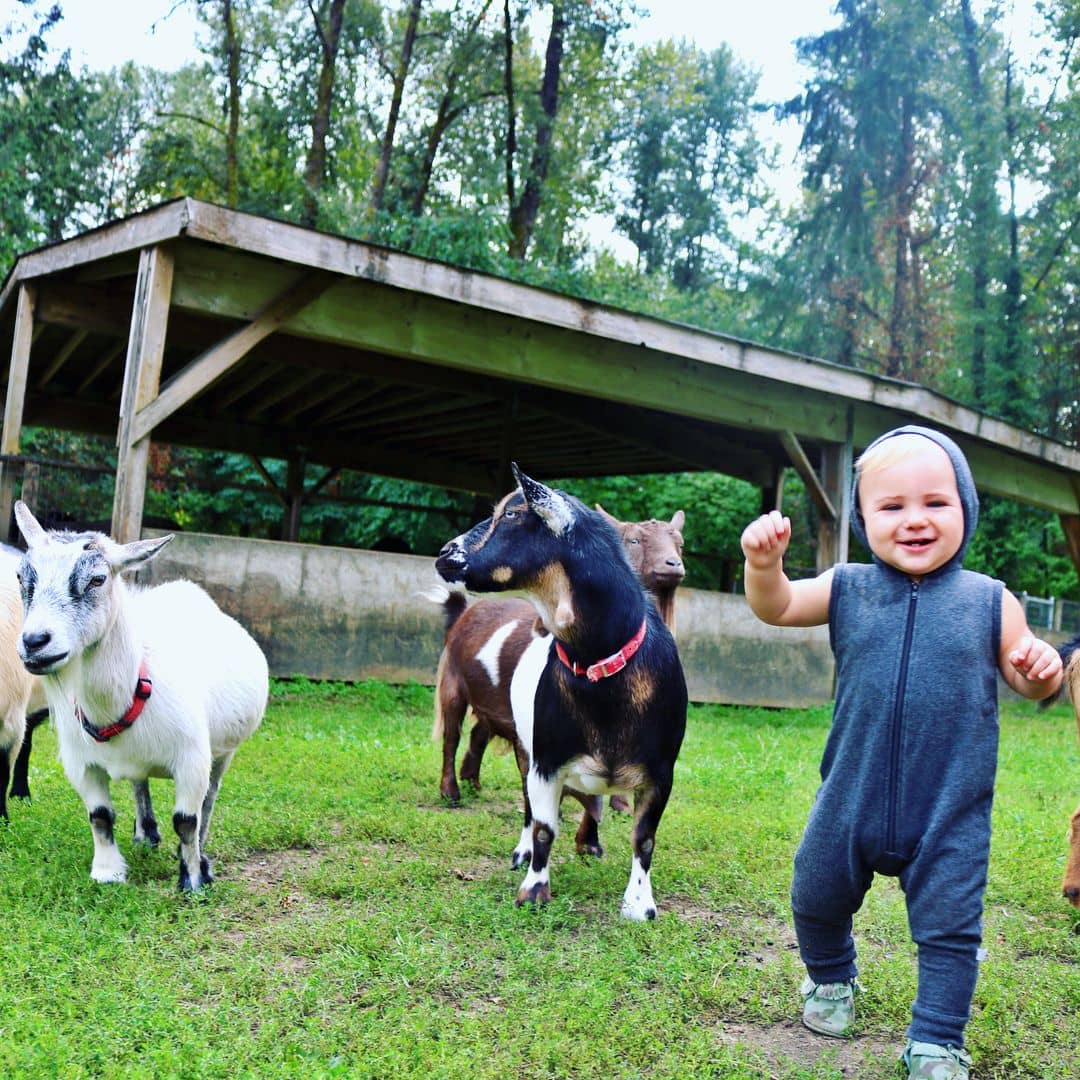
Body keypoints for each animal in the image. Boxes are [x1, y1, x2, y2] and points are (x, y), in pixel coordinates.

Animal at [12, 501, 267, 889]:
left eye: (97, 579)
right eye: (21, 578)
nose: (35, 642)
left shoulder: (192, 759)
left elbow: (186, 820)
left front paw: (195, 878)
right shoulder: (80, 763)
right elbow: (99, 815)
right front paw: (107, 871)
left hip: (224, 750)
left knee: (210, 797)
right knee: (138, 782)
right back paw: (145, 834)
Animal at [434, 464, 686, 920]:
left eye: (513, 514)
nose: (445, 553)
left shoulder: (661, 772)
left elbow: (643, 837)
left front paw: (640, 904)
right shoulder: (546, 761)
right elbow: (544, 828)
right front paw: (534, 890)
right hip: (484, 715)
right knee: (477, 760)